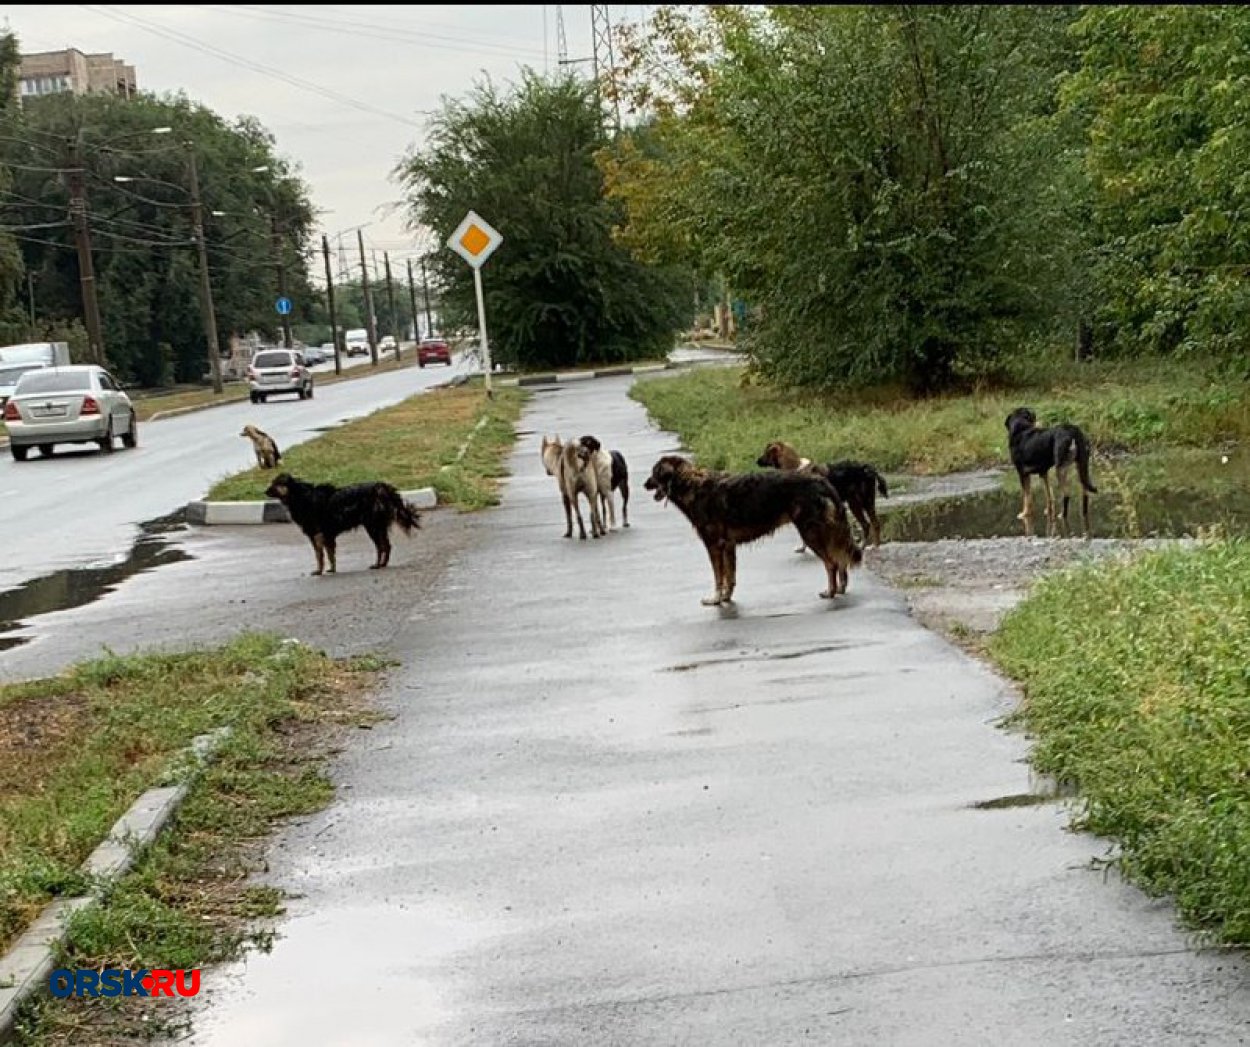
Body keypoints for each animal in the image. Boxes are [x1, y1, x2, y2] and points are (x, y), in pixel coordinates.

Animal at [263, 472, 420, 577]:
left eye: (276, 483)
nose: (264, 491)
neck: (300, 496)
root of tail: (382, 487)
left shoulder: (317, 535)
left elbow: (319, 555)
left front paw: (319, 571)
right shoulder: (327, 536)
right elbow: (330, 554)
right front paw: (332, 570)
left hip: (372, 527)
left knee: (381, 547)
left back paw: (377, 565)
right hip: (379, 526)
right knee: (387, 546)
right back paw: (383, 564)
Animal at [645, 457, 860, 609]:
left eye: (654, 473)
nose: (645, 484)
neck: (691, 484)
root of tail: (821, 481)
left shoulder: (714, 545)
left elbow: (718, 577)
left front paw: (715, 600)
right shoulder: (728, 546)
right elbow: (729, 577)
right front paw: (726, 597)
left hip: (811, 532)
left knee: (831, 563)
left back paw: (831, 592)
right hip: (825, 531)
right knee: (840, 558)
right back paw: (841, 587)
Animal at [750, 439, 890, 549]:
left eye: (766, 453)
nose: (756, 461)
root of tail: (867, 468)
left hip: (862, 501)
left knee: (871, 524)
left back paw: (872, 546)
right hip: (859, 502)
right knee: (870, 524)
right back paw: (867, 546)